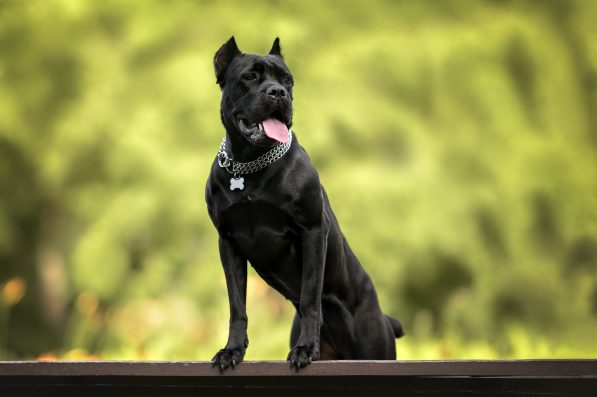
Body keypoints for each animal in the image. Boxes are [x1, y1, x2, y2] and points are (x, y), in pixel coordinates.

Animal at [205, 37, 406, 372]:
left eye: (287, 80)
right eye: (250, 76)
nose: (278, 93)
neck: (250, 165)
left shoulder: (311, 231)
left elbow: (311, 296)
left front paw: (305, 349)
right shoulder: (228, 243)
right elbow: (237, 306)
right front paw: (232, 350)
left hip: (375, 346)